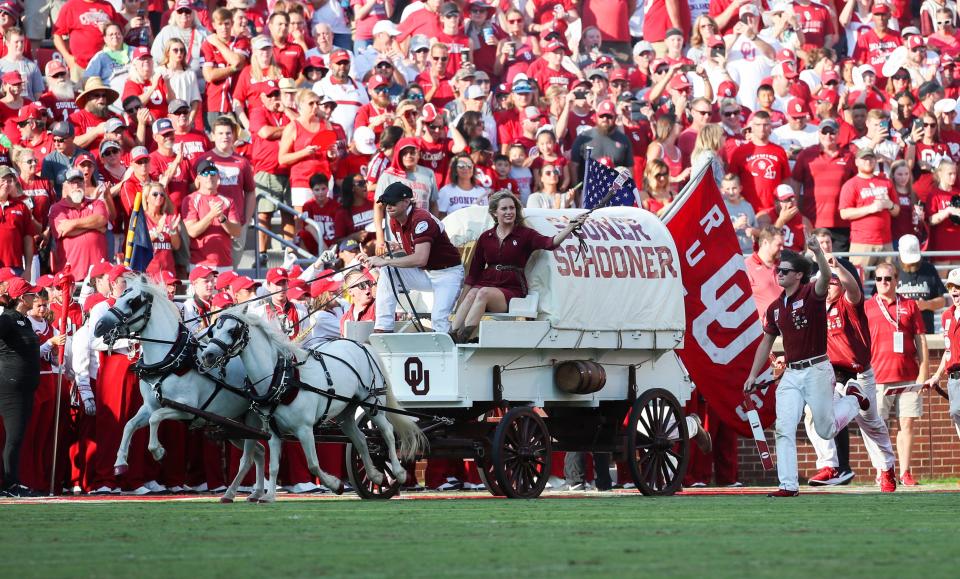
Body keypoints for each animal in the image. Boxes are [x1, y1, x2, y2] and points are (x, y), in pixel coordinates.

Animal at [95, 278, 266, 506]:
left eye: (132, 301)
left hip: (250, 422)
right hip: (233, 426)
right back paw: (257, 492)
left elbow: (155, 419)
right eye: (119, 296)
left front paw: (158, 451)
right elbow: (130, 424)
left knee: (255, 454)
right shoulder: (150, 406)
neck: (171, 358)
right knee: (260, 452)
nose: (99, 326)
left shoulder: (185, 409)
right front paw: (120, 462)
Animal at [197, 312, 426, 502]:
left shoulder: (305, 429)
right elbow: (273, 466)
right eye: (213, 331)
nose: (207, 355)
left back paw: (398, 472)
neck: (283, 379)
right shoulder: (274, 432)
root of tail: (362, 345)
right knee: (360, 439)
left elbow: (313, 464)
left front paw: (335, 484)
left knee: (387, 433)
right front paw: (269, 496)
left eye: (231, 330)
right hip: (346, 412)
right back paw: (375, 475)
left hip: (372, 403)